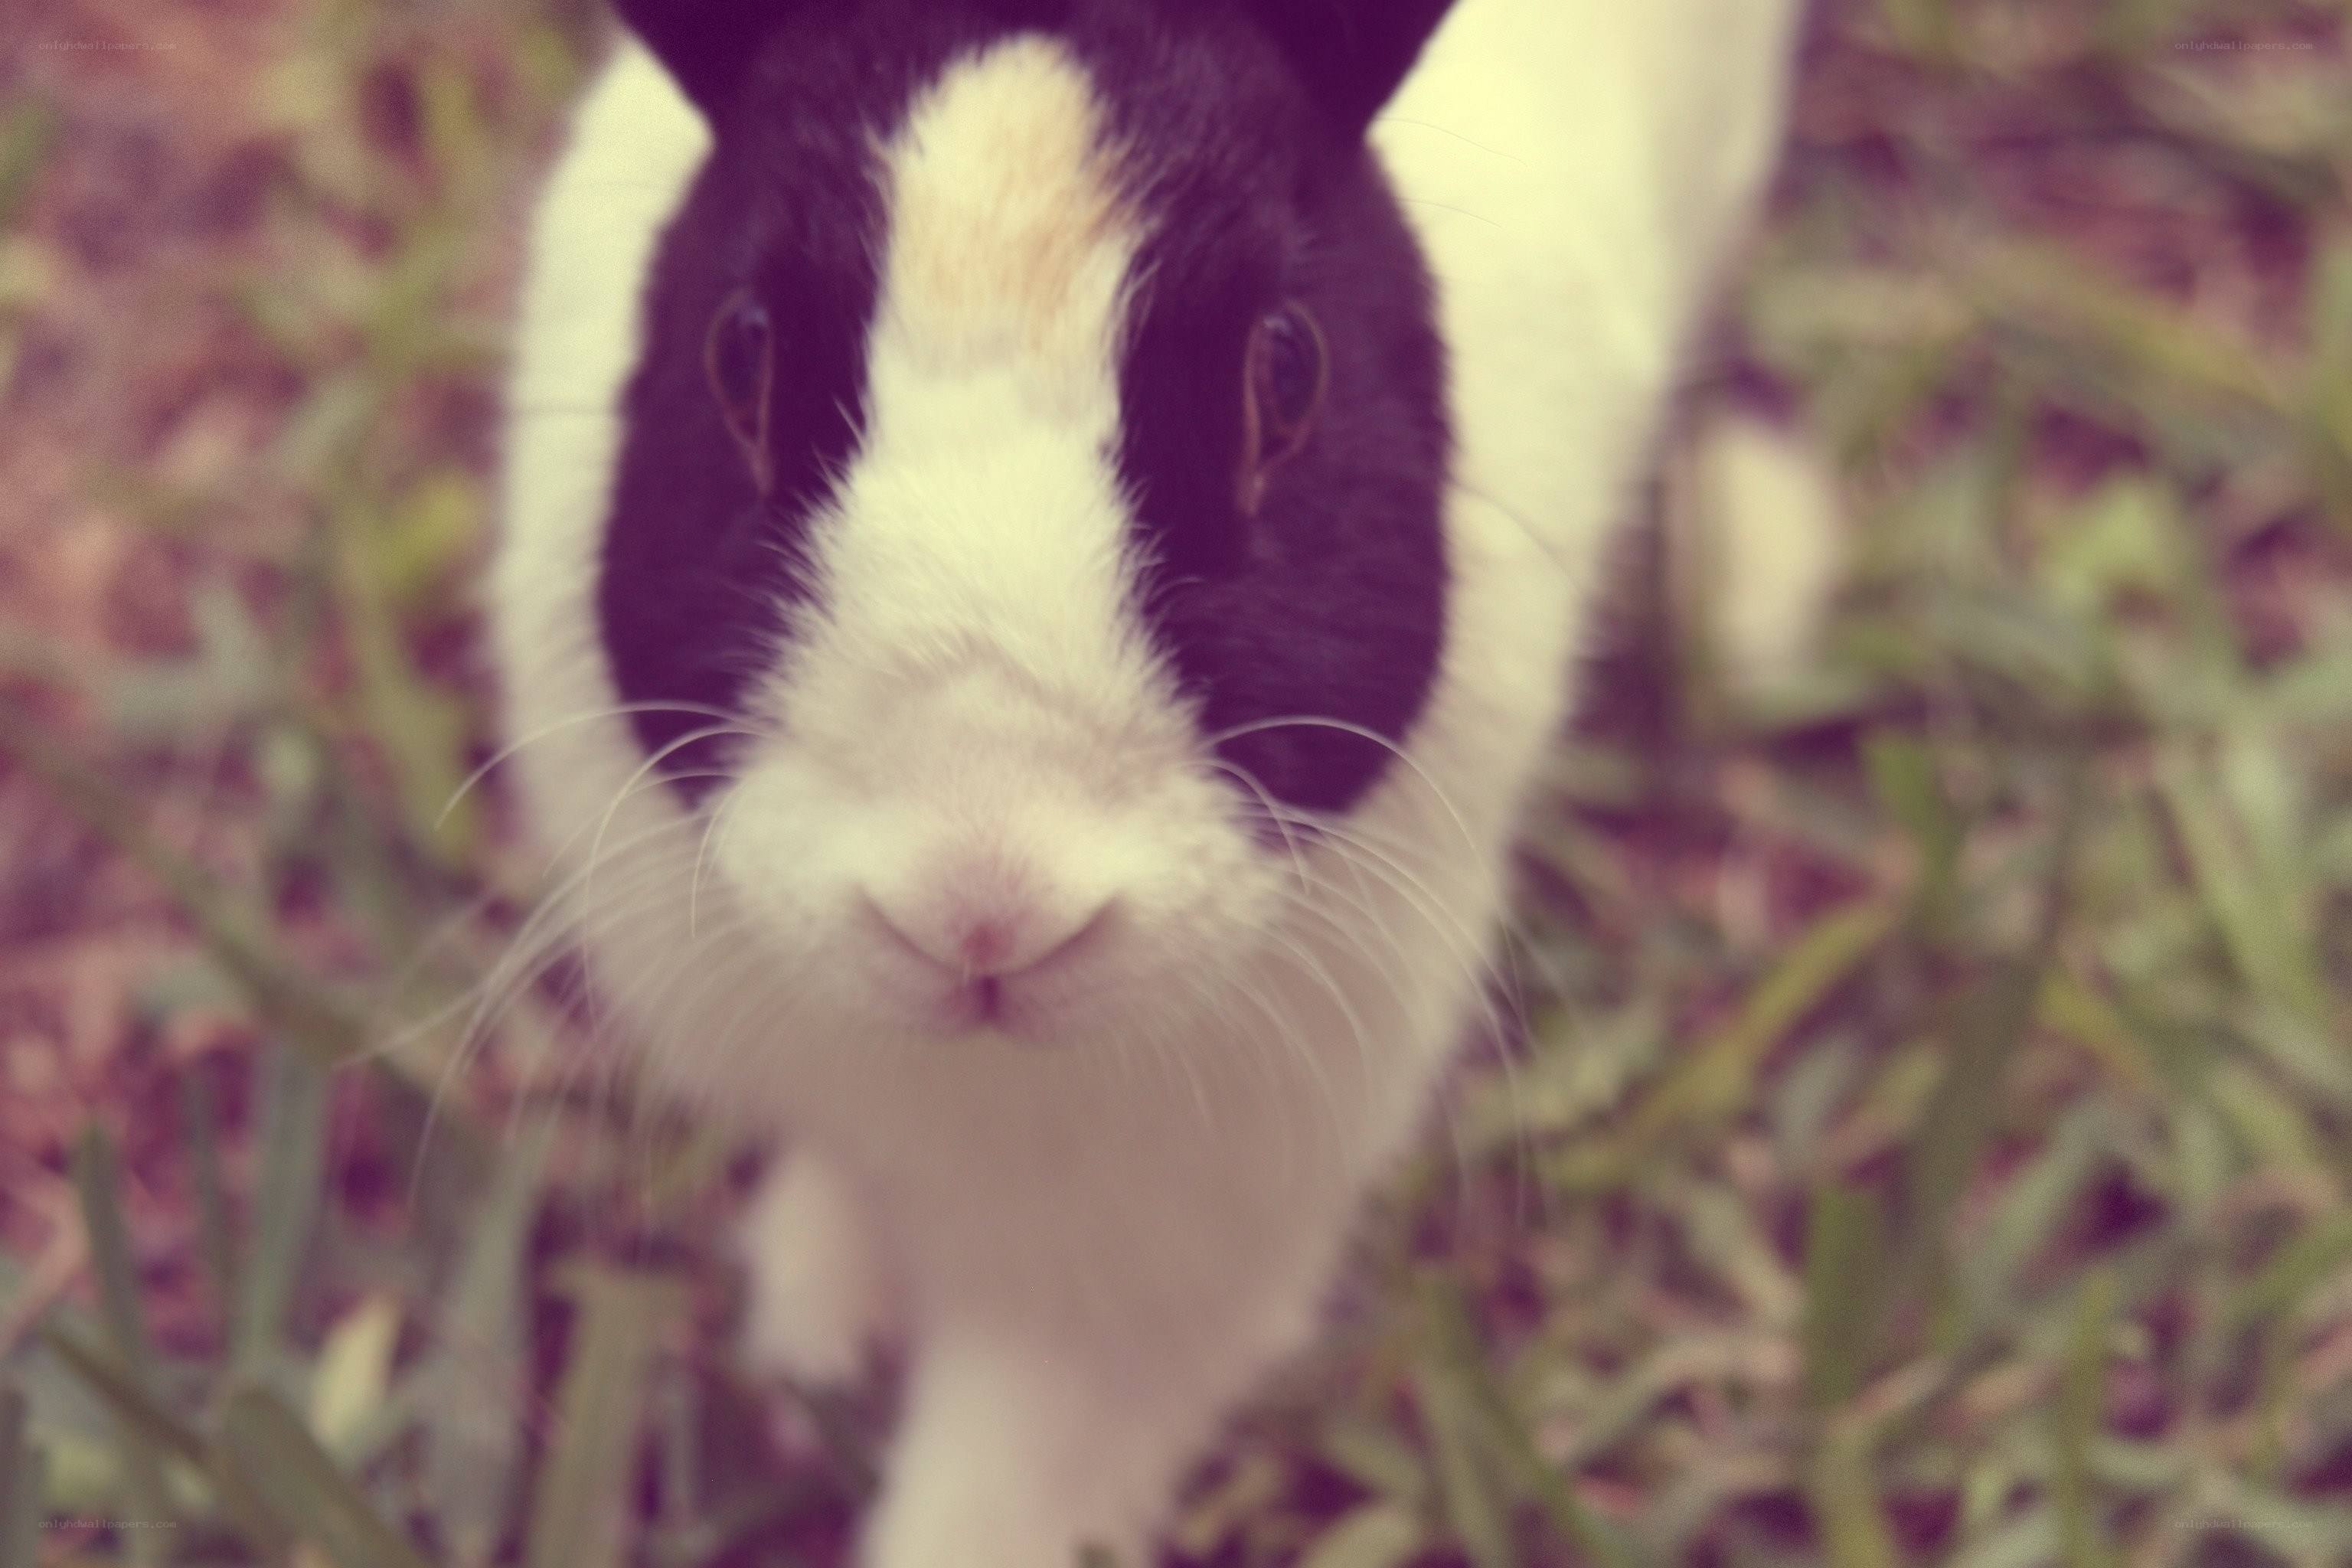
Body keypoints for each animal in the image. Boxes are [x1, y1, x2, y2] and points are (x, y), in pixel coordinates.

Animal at [494, 0, 1804, 1562]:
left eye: (1283, 373)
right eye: (739, 355)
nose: (981, 908)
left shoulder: (1164, 1252)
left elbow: (1010, 1472)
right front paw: (813, 1327)